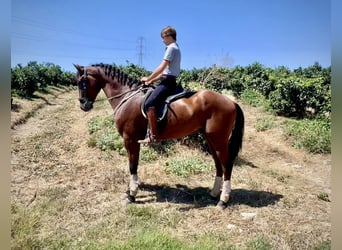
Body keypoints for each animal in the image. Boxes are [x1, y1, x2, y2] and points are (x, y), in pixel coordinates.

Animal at [74, 63, 244, 208]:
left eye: (82, 82)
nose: (83, 105)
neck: (127, 97)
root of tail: (231, 102)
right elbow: (133, 164)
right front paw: (130, 191)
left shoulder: (130, 139)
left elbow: (132, 165)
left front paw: (132, 194)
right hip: (211, 139)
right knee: (218, 164)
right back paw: (214, 194)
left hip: (219, 140)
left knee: (226, 165)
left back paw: (223, 200)